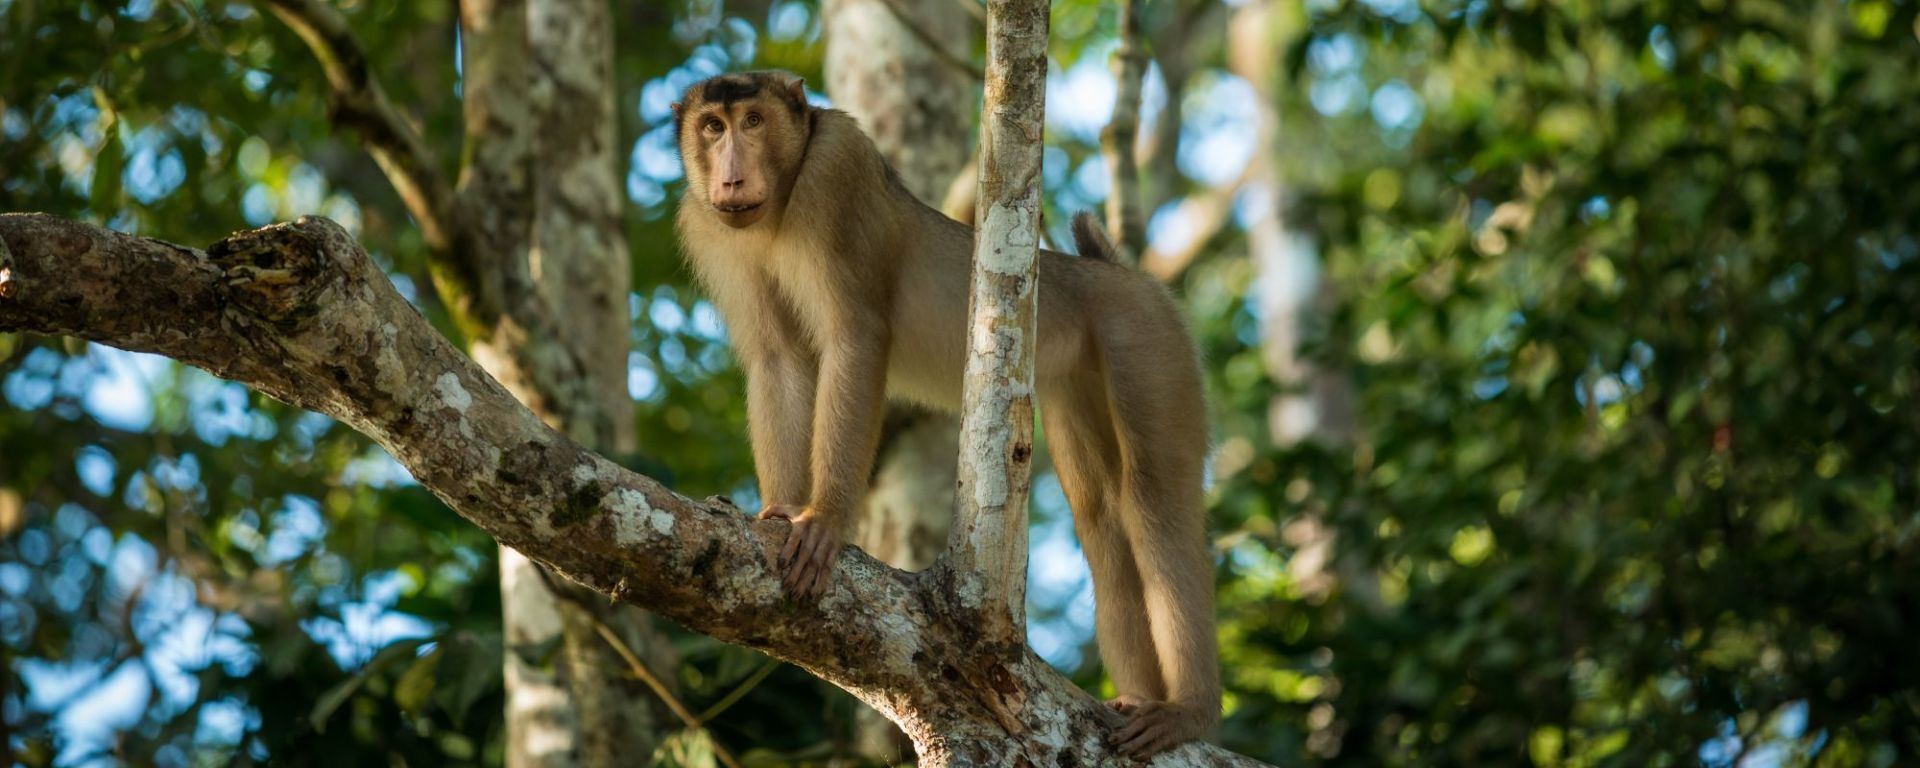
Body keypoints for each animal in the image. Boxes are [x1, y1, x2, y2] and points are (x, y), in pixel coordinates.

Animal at [673, 71, 1219, 757]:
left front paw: (823, 522)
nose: (730, 174)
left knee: (1153, 497)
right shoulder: (707, 226)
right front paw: (779, 510)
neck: (782, 197)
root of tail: (1118, 275)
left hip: (1145, 334)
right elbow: (778, 361)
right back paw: (1141, 698)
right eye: (711, 127)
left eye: (751, 121)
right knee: (1102, 516)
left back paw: (1190, 713)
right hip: (1074, 377)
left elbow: (856, 338)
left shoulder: (836, 172)